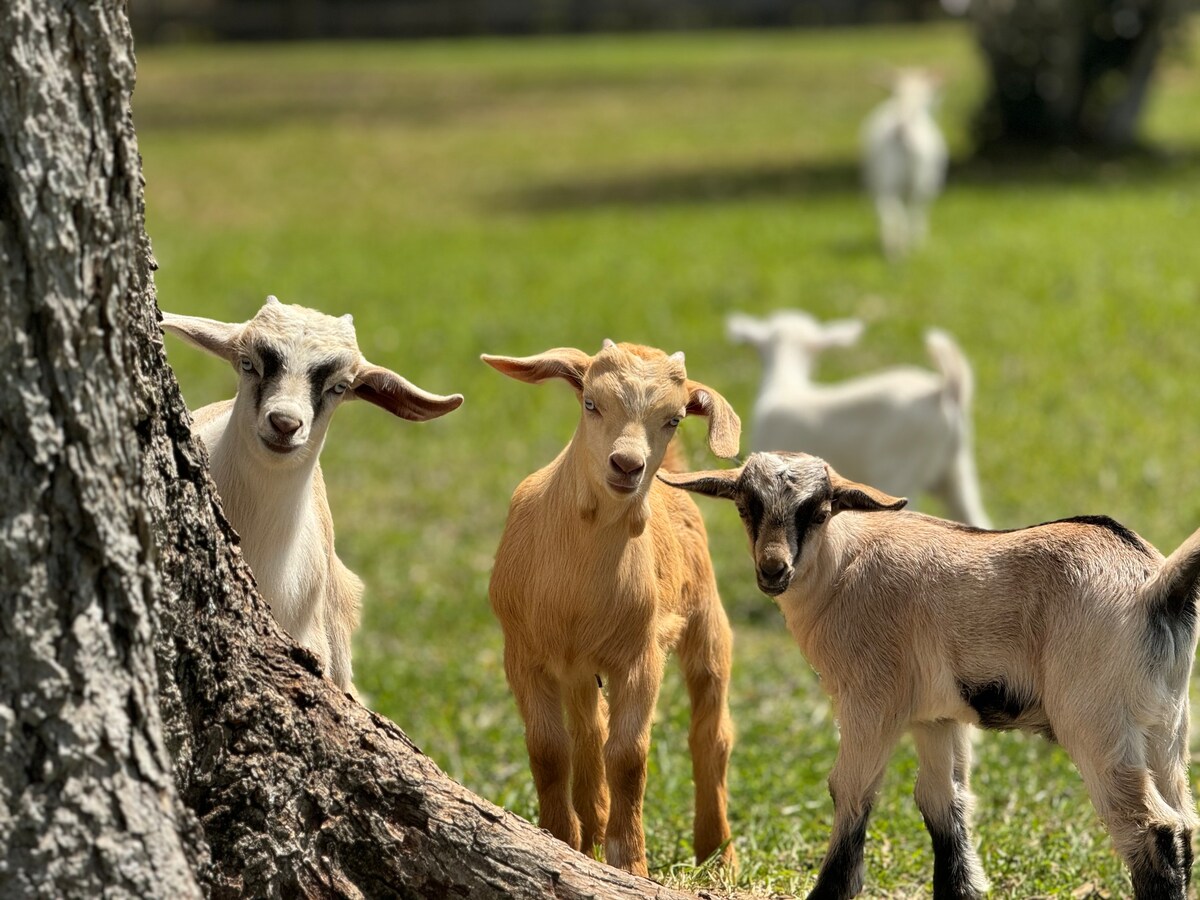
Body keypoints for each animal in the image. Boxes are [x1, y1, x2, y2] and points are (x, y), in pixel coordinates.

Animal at [864, 69, 945, 260]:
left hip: (888, 183)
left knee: (890, 213)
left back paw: (894, 249)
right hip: (914, 183)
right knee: (907, 213)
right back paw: (903, 248)